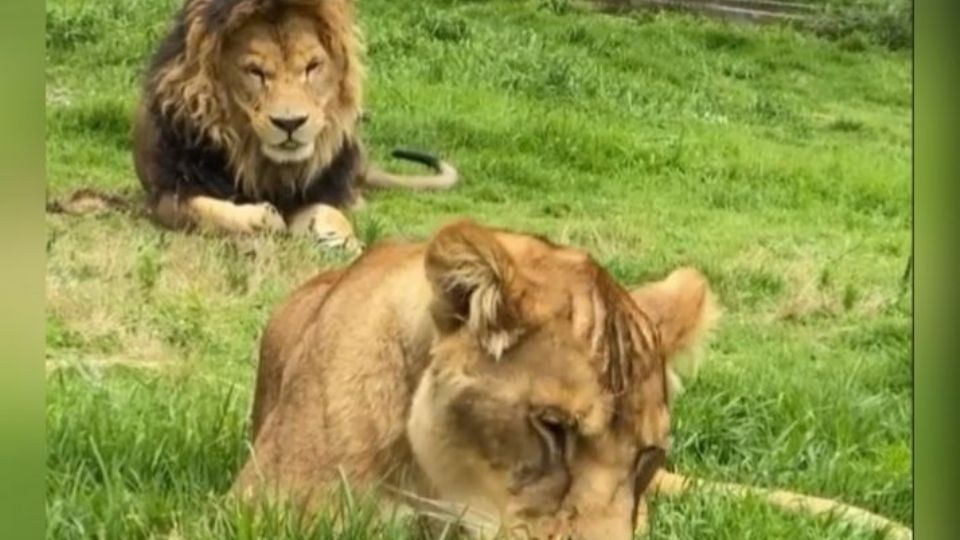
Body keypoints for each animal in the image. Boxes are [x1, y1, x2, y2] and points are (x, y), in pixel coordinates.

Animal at [133, 0, 456, 249]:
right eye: (255, 71)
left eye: (312, 67)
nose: (290, 123)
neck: (266, 166)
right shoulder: (165, 194)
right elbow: (205, 209)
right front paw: (262, 218)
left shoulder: (323, 189)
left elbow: (331, 212)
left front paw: (343, 239)